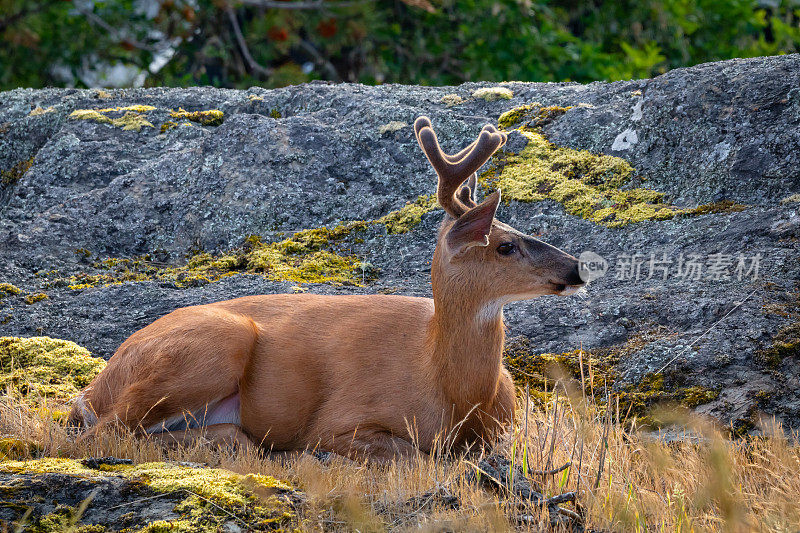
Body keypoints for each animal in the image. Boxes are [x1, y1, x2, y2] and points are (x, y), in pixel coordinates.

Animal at [70, 116, 588, 462]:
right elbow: (412, 454)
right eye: (505, 245)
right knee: (105, 432)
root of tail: (94, 389)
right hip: (213, 343)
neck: (456, 392)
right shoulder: (341, 420)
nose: (578, 268)